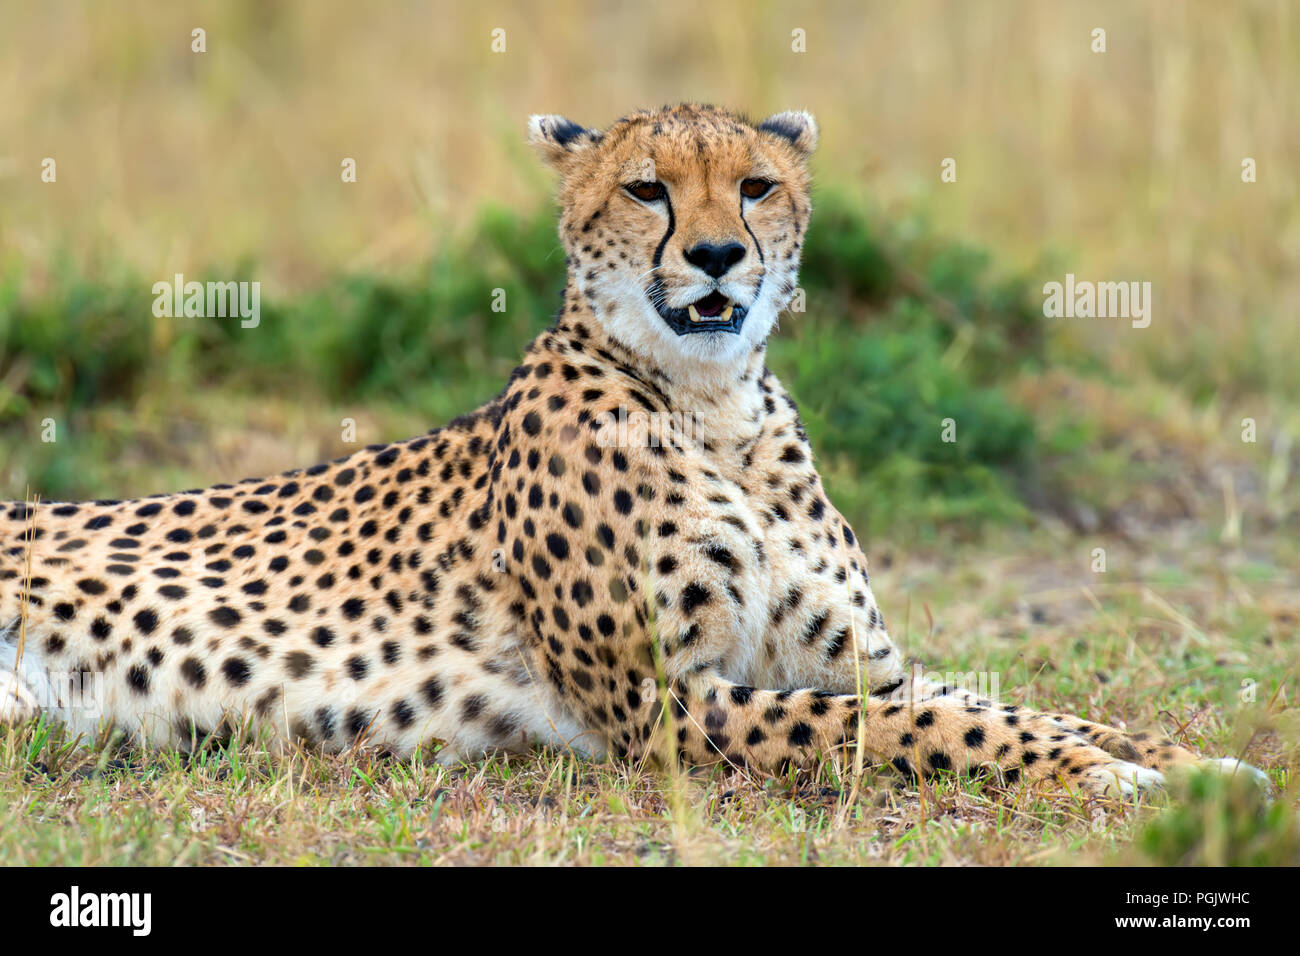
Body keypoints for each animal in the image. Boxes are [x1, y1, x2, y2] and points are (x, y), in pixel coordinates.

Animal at [0, 103, 1267, 799]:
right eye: (647, 190)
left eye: (755, 186)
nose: (713, 255)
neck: (714, 404)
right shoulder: (672, 705)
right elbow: (938, 726)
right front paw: (1122, 776)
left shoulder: (857, 661)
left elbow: (1027, 704)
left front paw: (1192, 761)